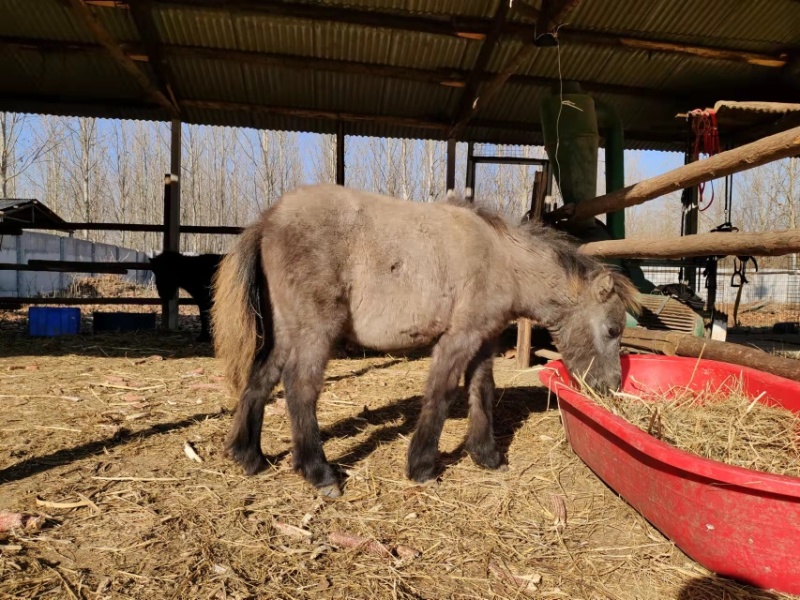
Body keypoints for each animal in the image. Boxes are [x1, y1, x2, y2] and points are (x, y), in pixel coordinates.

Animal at [211, 184, 640, 498]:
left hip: (289, 331)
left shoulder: (483, 339)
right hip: (316, 330)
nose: (611, 387)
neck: (501, 257)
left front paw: (487, 455)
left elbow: (482, 390)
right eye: (612, 330)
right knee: (300, 388)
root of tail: (269, 218)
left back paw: (248, 455)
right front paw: (421, 466)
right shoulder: (458, 339)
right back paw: (319, 473)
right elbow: (441, 392)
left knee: (260, 379)